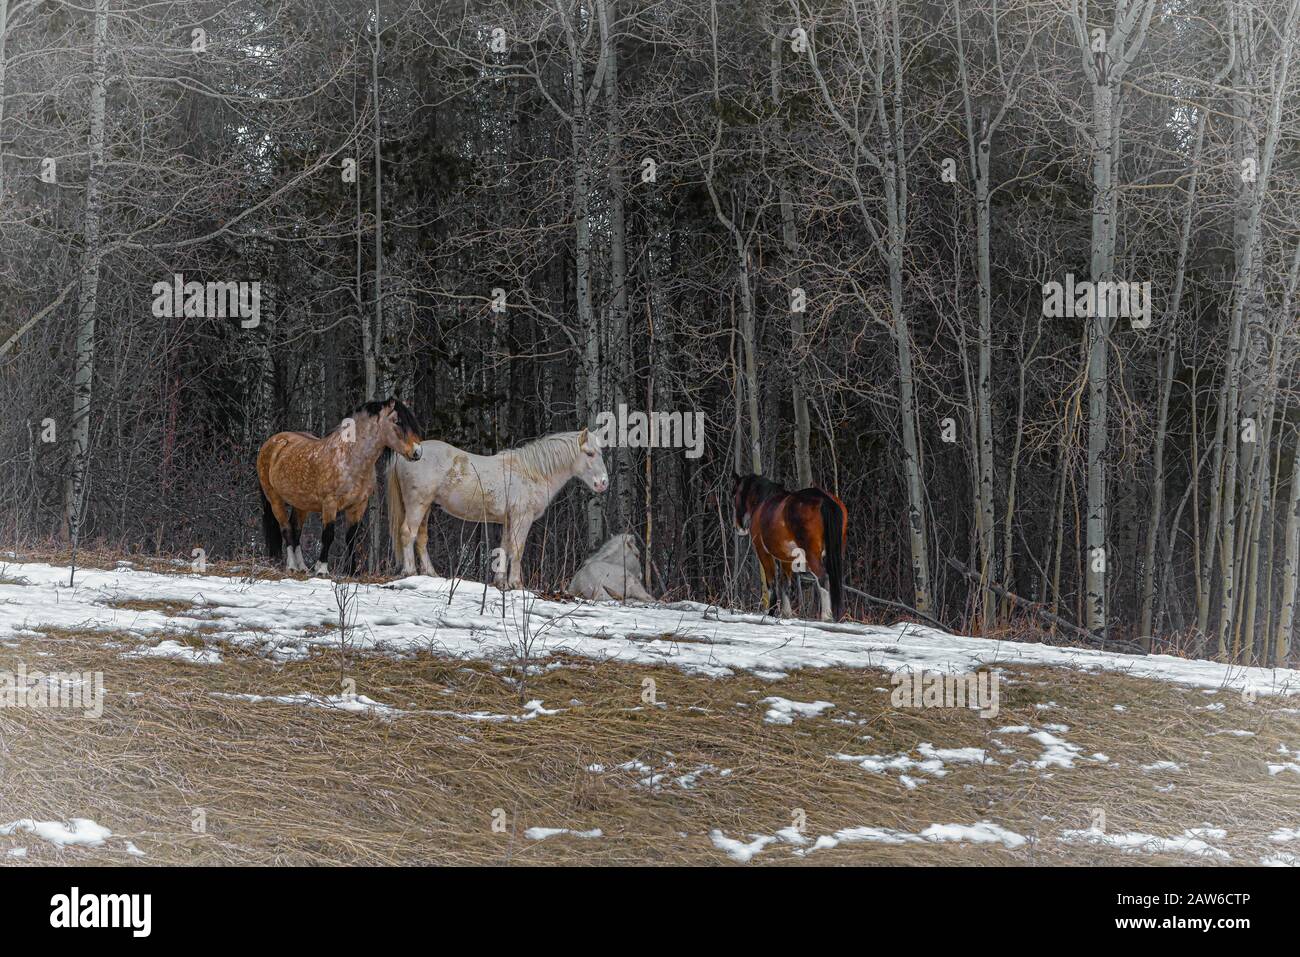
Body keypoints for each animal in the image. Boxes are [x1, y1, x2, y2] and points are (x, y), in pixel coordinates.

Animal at [261, 397, 423, 574]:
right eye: (398, 421)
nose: (417, 452)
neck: (349, 458)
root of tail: (272, 442)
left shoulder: (358, 506)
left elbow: (351, 537)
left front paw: (351, 571)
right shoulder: (329, 504)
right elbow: (328, 535)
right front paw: (322, 569)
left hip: (301, 504)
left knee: (296, 530)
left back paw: (302, 567)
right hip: (274, 499)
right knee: (286, 529)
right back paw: (291, 566)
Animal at [728, 475, 847, 624]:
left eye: (734, 495)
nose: (738, 527)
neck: (763, 502)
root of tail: (824, 498)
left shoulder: (763, 552)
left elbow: (771, 582)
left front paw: (771, 612)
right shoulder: (786, 558)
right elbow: (786, 584)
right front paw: (786, 613)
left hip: (812, 555)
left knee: (823, 577)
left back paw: (826, 615)